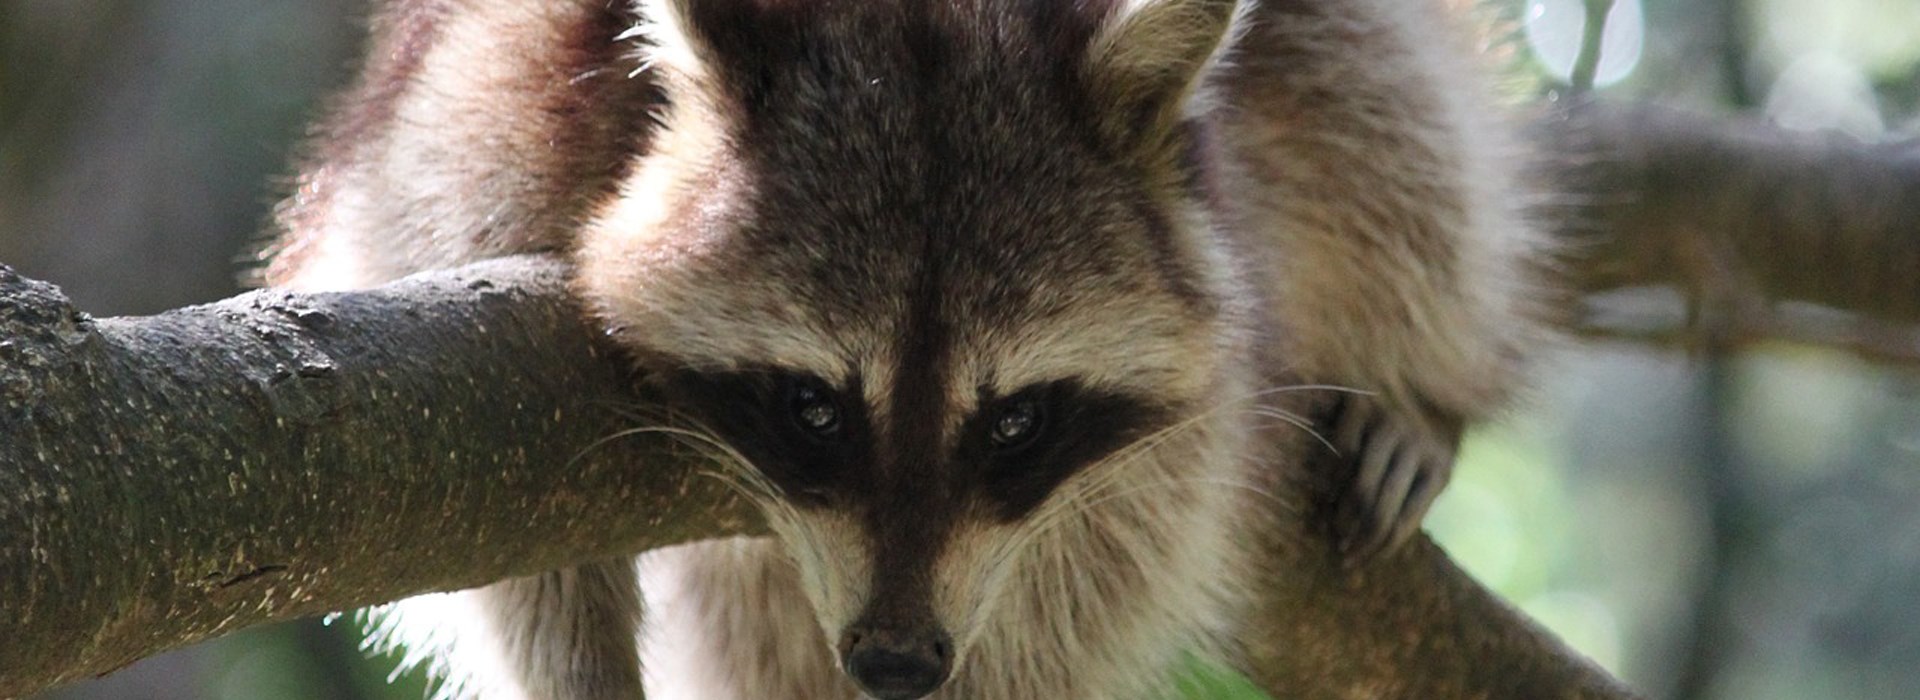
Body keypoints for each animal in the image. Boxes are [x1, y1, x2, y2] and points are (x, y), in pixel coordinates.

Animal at [266, 1, 1543, 698]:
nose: (896, 663)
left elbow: (1106, 558)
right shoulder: (481, 116)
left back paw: (1423, 379)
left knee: (1384, 112)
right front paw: (582, 677)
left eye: (1018, 419)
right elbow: (508, 561)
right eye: (815, 407)